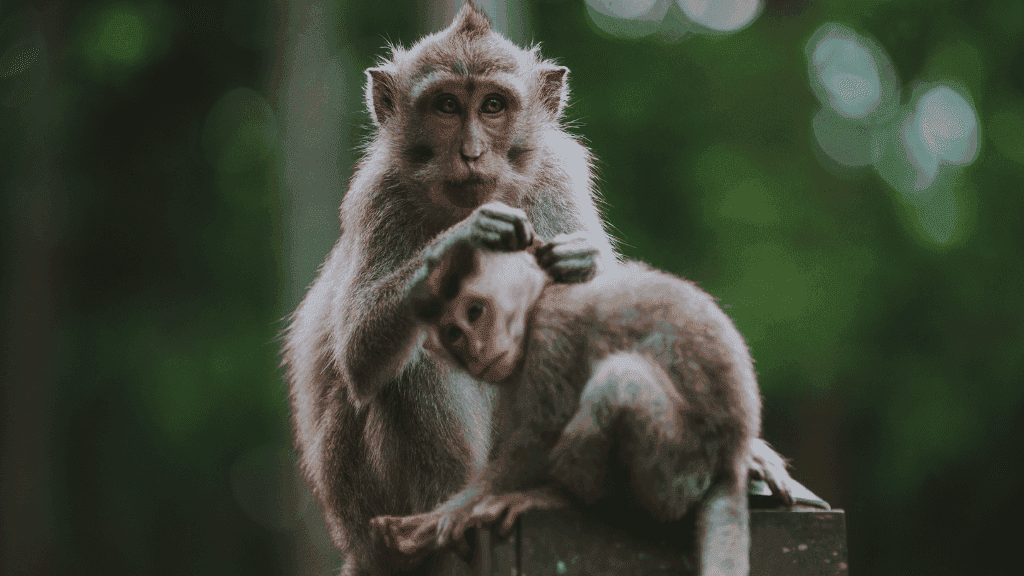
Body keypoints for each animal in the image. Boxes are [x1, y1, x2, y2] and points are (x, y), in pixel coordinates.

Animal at [372, 229, 765, 575]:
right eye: (453, 333)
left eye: (475, 312)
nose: (476, 351)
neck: (540, 299)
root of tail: (732, 457)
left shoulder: (551, 331)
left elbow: (541, 433)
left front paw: (446, 515)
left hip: (679, 471)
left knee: (619, 382)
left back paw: (563, 498)